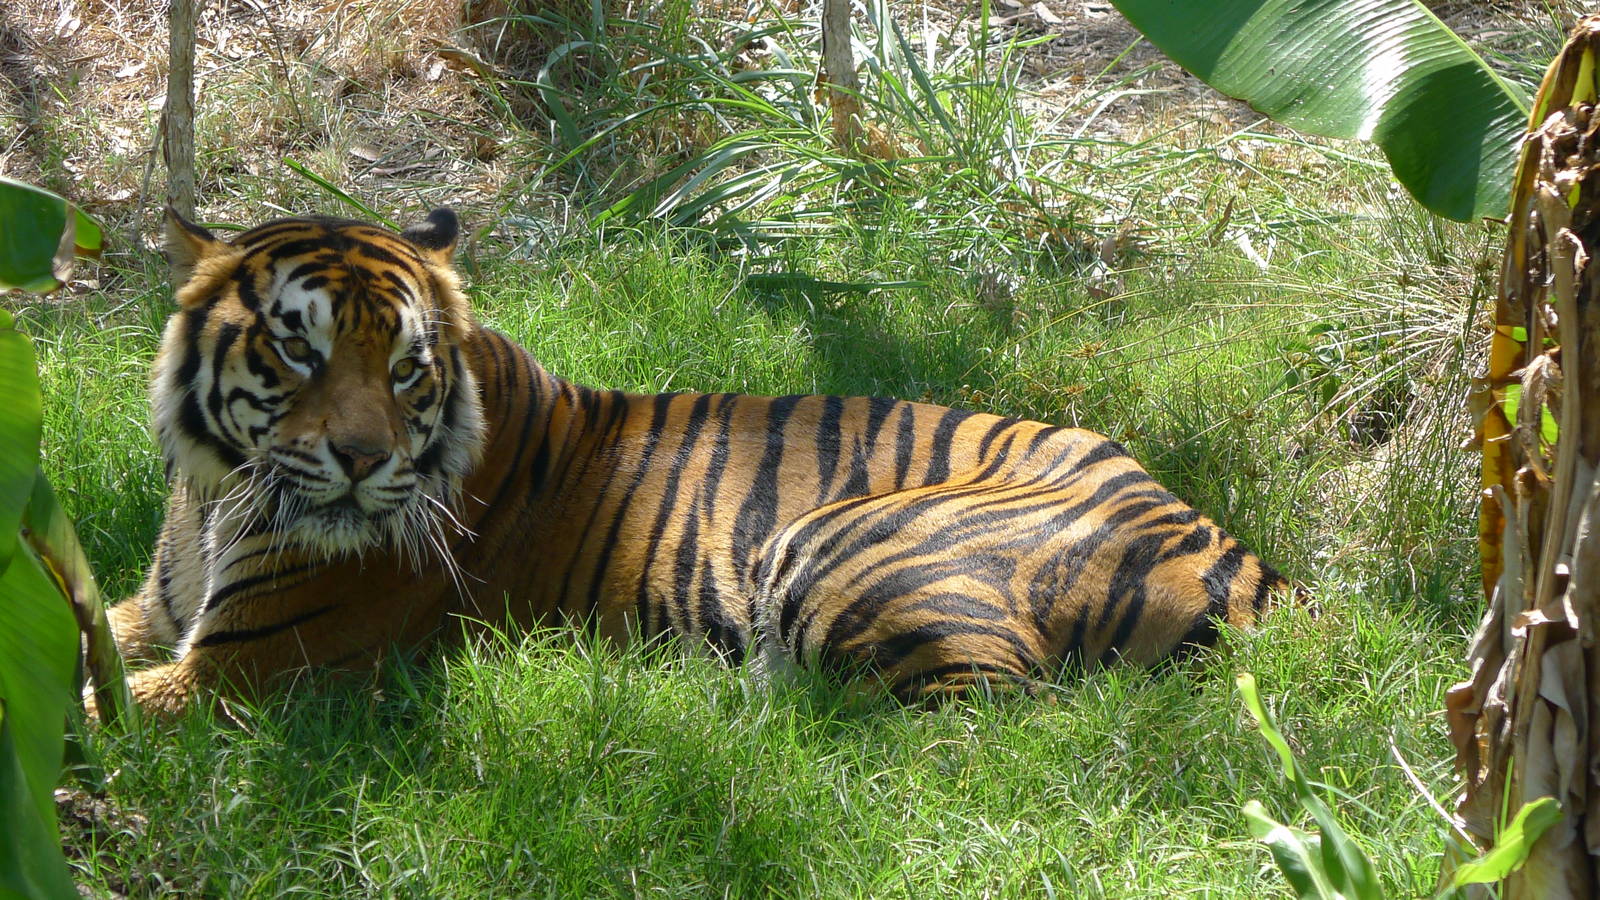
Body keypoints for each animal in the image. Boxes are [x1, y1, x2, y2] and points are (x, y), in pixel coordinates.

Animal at [104, 207, 1290, 716]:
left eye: (406, 367)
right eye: (298, 348)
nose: (359, 461)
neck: (215, 492)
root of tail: (1231, 546)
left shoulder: (245, 665)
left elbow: (90, 714)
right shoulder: (154, 617)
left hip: (846, 544)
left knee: (994, 724)